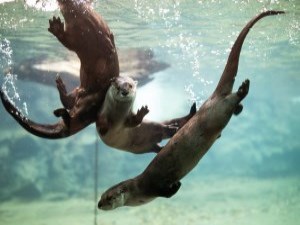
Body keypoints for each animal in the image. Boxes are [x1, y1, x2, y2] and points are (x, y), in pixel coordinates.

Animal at [0, 0, 119, 138]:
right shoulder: (74, 35)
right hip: (80, 94)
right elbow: (68, 42)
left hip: (93, 98)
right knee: (69, 107)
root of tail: (92, 116)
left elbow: (107, 45)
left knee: (69, 112)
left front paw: (110, 49)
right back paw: (60, 89)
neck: (82, 16)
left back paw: (60, 103)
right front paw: (56, 26)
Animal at [98, 10, 284, 211]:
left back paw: (243, 89)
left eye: (109, 197)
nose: (99, 205)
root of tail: (212, 99)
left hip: (218, 111)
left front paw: (176, 185)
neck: (138, 189)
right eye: (101, 196)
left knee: (231, 100)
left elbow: (167, 192)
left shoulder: (153, 187)